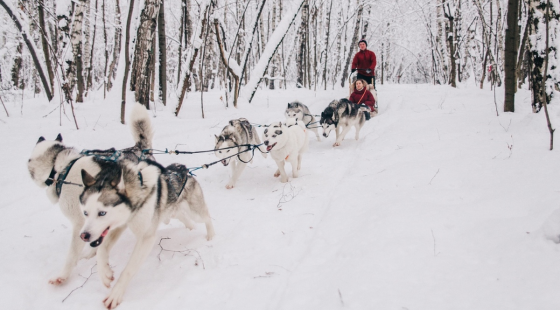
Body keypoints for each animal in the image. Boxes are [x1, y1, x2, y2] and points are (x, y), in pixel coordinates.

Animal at [80, 159, 215, 308]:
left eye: (102, 213)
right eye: (85, 213)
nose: (84, 236)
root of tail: (183, 169)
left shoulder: (146, 238)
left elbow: (129, 269)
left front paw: (115, 294)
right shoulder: (118, 226)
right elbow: (101, 250)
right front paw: (105, 274)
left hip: (195, 213)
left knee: (207, 217)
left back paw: (211, 236)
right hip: (172, 212)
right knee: (184, 217)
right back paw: (191, 229)